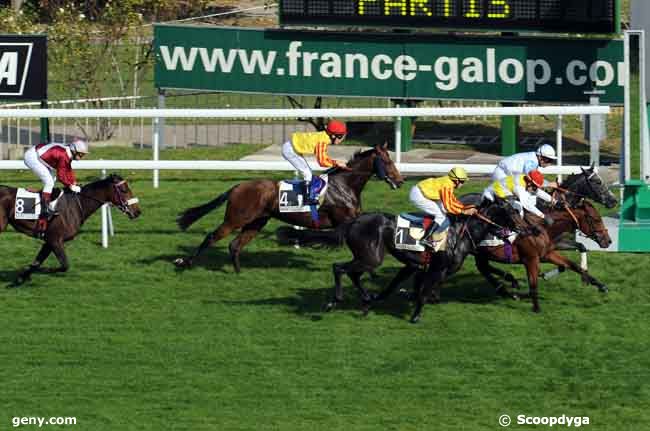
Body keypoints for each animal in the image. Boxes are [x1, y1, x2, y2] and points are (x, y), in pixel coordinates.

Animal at [0, 174, 140, 286]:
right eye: (124, 190)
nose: (138, 212)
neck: (76, 204)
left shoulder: (49, 241)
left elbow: (37, 262)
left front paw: (21, 277)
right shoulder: (55, 240)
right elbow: (64, 265)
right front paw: (45, 270)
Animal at [175, 144, 402, 274]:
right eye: (387, 161)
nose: (400, 181)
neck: (345, 186)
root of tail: (237, 187)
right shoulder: (343, 223)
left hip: (256, 222)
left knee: (235, 245)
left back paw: (238, 271)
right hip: (235, 219)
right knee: (211, 237)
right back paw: (185, 262)